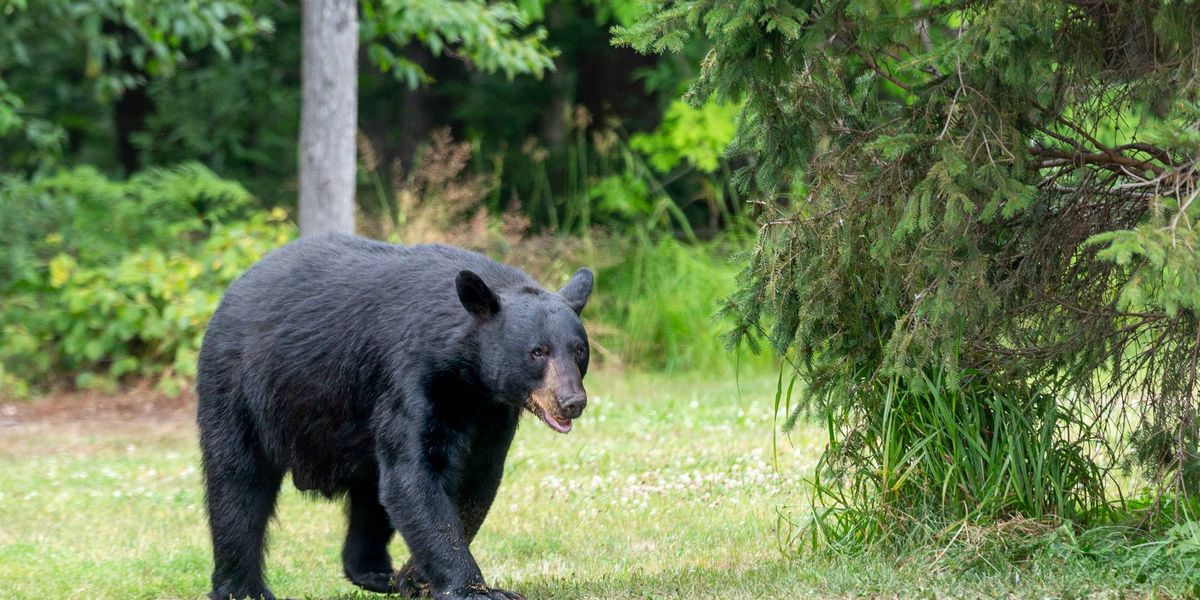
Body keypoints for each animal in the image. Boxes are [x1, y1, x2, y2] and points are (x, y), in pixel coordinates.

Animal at [196, 233, 593, 600]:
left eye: (579, 351)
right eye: (537, 352)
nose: (571, 401)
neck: (467, 377)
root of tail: (232, 291)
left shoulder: (492, 412)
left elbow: (475, 480)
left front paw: (416, 579)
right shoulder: (412, 377)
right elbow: (413, 476)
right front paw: (475, 588)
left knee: (370, 497)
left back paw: (375, 573)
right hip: (238, 389)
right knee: (238, 485)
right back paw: (242, 588)